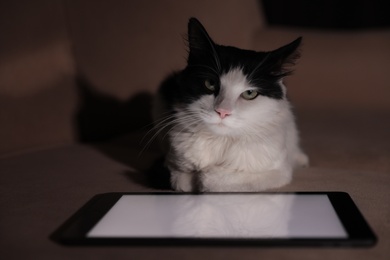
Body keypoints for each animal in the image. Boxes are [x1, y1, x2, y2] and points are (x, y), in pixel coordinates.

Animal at [152, 16, 308, 191]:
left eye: (249, 93)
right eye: (210, 84)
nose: (222, 112)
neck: (220, 141)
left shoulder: (278, 171)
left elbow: (212, 180)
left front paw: (203, 178)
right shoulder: (173, 162)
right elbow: (181, 180)